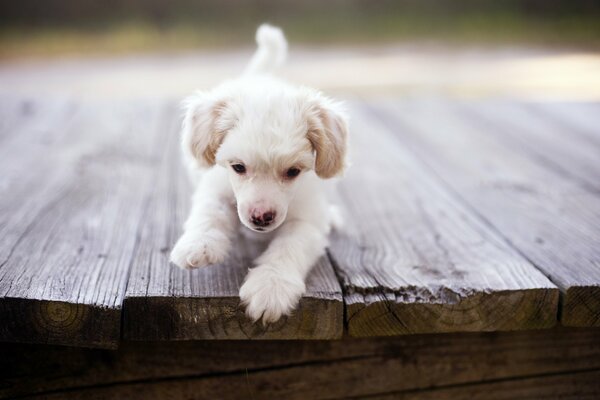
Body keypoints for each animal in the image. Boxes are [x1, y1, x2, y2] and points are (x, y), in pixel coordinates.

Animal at [170, 23, 346, 324]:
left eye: (293, 171)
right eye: (238, 167)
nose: (261, 217)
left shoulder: (307, 221)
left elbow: (289, 247)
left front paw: (271, 285)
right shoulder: (215, 185)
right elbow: (210, 213)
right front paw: (199, 244)